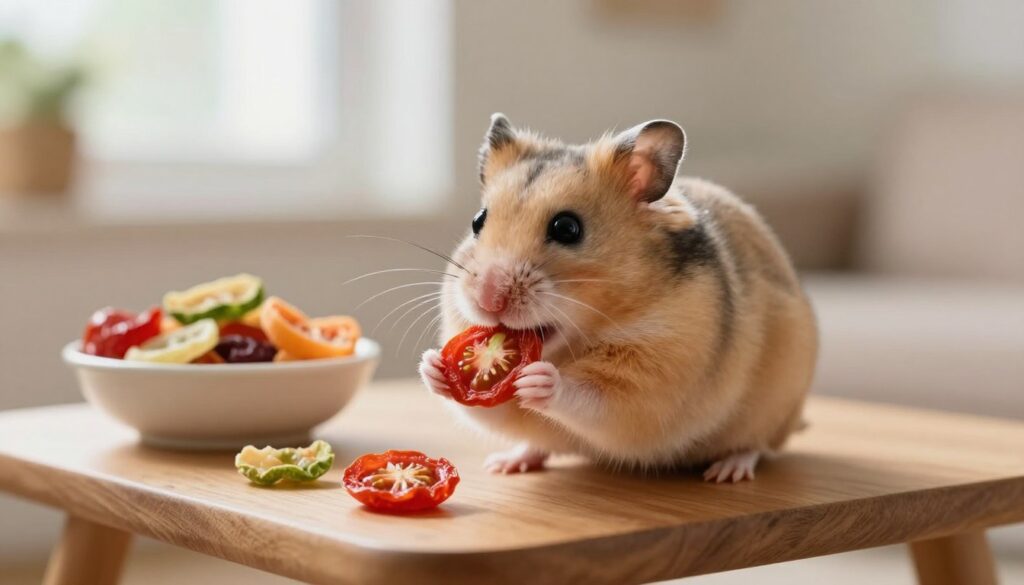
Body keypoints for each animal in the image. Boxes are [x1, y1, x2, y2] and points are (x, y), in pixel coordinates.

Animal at [419, 114, 817, 482]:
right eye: (478, 220)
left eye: (567, 228)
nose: (488, 299)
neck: (577, 342)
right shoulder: (505, 408)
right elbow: (487, 407)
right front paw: (432, 365)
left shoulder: (654, 378)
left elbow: (592, 398)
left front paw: (540, 380)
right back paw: (506, 464)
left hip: (773, 408)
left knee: (757, 445)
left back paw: (727, 472)